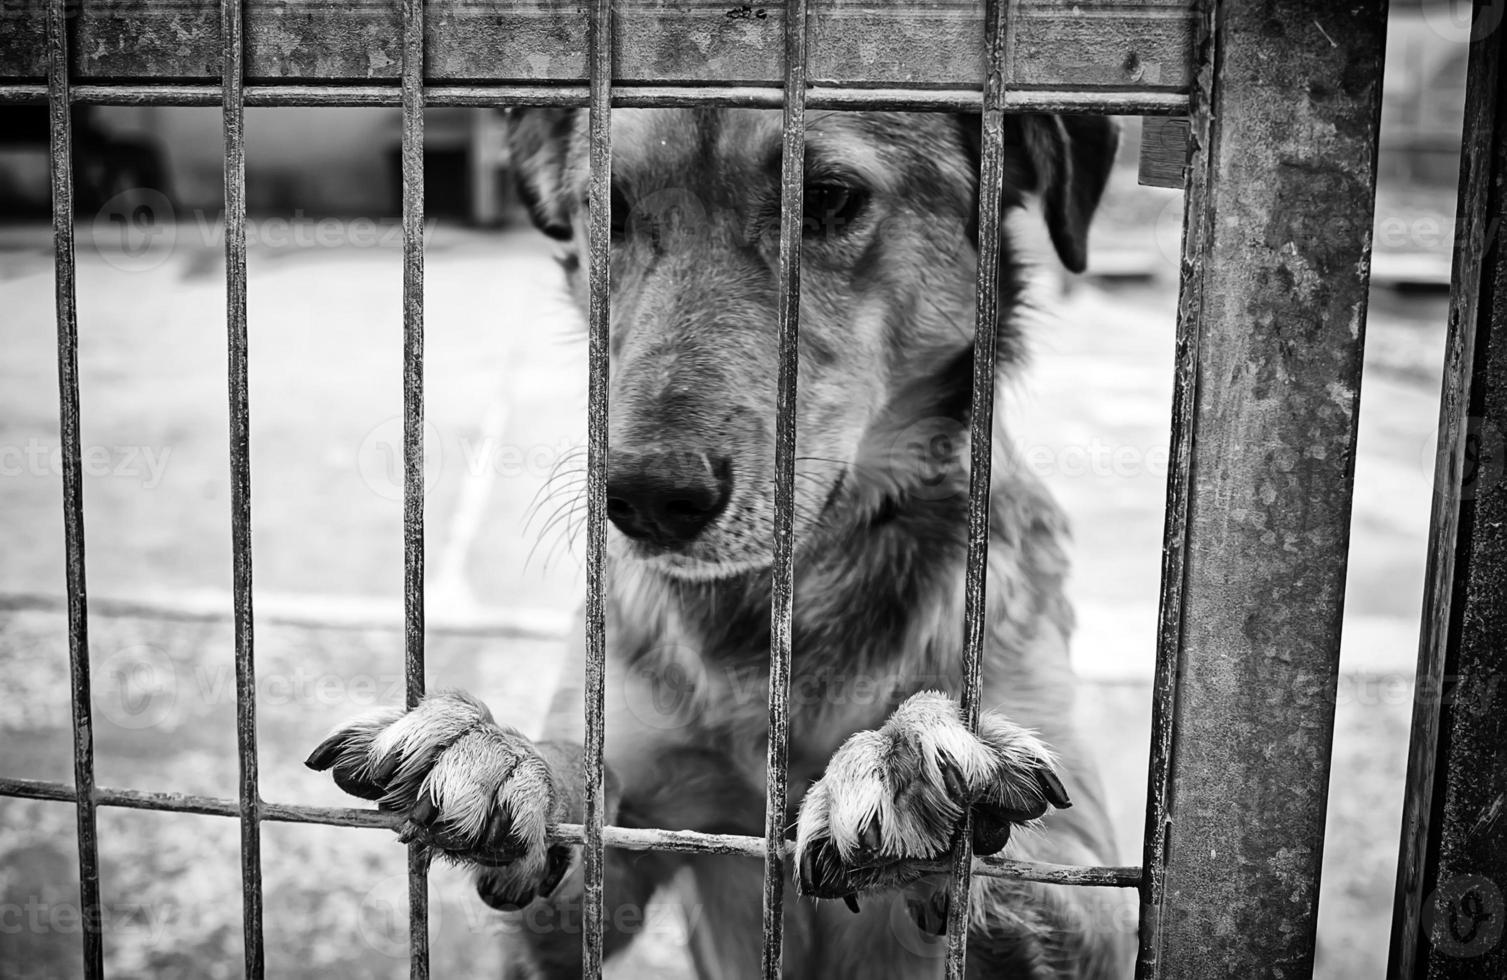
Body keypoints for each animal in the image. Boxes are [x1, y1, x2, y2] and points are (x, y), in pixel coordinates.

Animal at [305, 108, 1133, 976]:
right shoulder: (621, 864)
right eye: (606, 209)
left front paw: (908, 764)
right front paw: (507, 754)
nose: (646, 500)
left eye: (826, 199)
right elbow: (583, 807)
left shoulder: (1093, 885)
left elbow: (1030, 865)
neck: (773, 612)